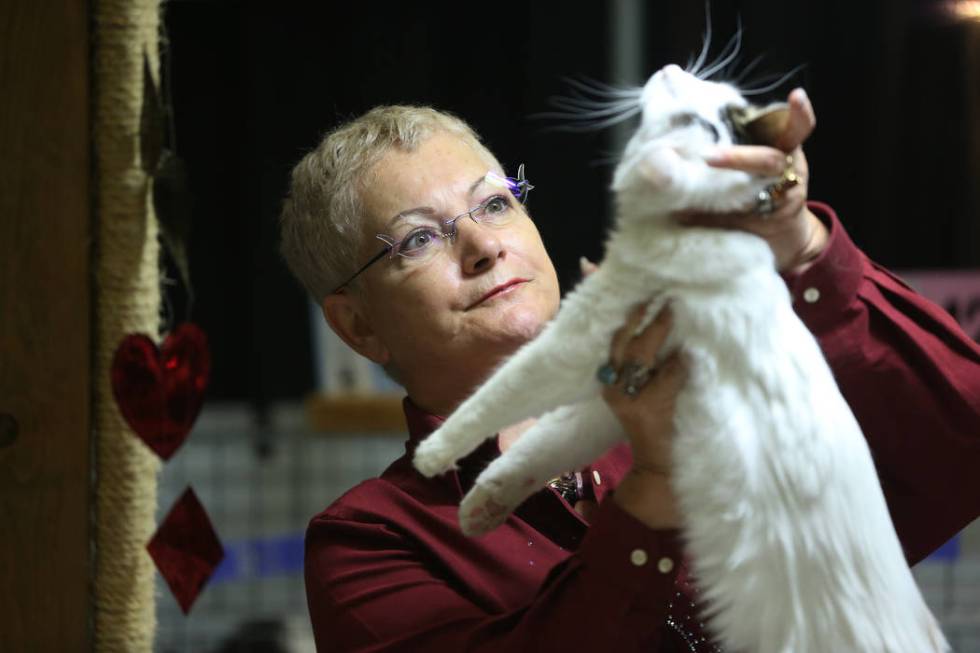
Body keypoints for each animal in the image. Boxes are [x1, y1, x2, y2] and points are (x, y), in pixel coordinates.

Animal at [410, 62, 944, 652]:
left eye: (690, 107)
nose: (671, 68)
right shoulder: (613, 396)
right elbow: (542, 447)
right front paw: (483, 506)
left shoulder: (581, 335)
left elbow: (499, 392)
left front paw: (433, 453)